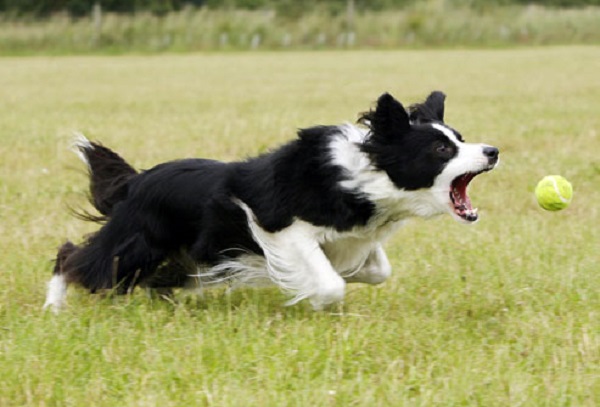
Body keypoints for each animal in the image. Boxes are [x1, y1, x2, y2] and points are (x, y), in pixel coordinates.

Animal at [44, 92, 500, 314]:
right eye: (441, 149)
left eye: (459, 137)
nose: (493, 150)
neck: (363, 175)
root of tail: (135, 181)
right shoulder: (281, 228)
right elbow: (330, 282)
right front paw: (313, 296)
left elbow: (375, 270)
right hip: (136, 244)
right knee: (74, 257)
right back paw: (54, 307)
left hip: (181, 257)